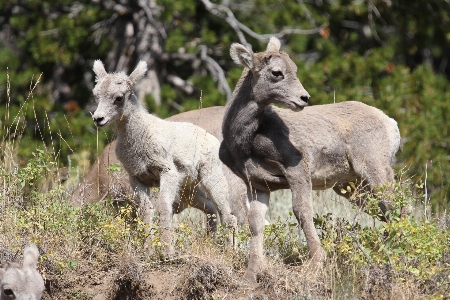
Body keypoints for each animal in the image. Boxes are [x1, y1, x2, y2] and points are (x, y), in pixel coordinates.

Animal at [91, 60, 239, 253]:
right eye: (96, 95)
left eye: (119, 97)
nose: (98, 119)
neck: (140, 136)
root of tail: (212, 140)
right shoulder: (137, 179)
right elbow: (146, 211)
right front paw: (148, 249)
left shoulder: (167, 173)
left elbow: (163, 207)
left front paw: (167, 252)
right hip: (189, 189)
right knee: (212, 210)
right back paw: (211, 242)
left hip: (212, 179)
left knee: (228, 215)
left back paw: (232, 251)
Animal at [220, 37, 400, 282]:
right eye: (277, 72)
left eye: (294, 70)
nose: (303, 98)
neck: (244, 141)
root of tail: (391, 124)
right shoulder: (258, 184)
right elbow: (255, 223)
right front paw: (250, 275)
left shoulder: (297, 169)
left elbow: (302, 211)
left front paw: (315, 262)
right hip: (354, 187)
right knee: (385, 212)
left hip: (375, 171)